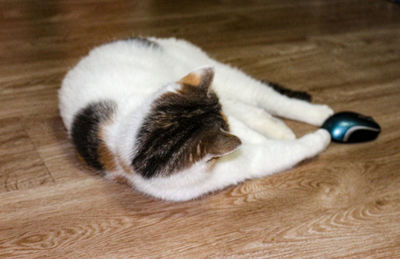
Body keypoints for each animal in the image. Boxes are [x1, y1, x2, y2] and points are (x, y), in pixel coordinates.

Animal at [58, 37, 334, 203]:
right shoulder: (245, 160)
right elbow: (283, 150)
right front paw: (320, 137)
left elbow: (249, 128)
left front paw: (321, 132)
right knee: (253, 109)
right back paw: (284, 129)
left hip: (222, 77)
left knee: (268, 98)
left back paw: (321, 114)